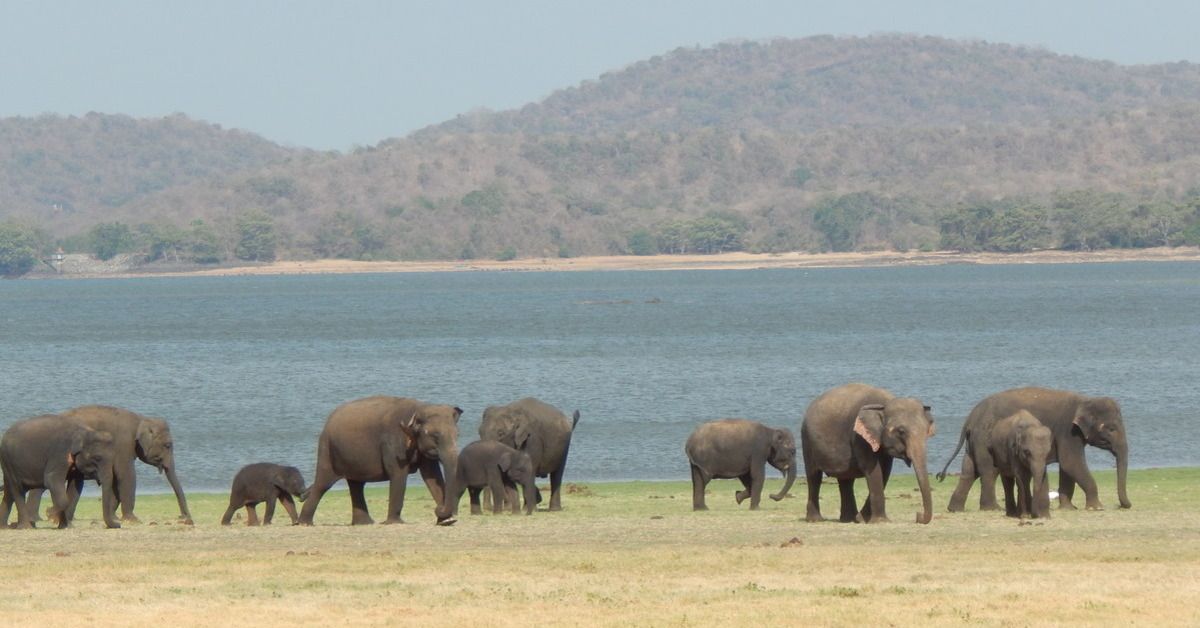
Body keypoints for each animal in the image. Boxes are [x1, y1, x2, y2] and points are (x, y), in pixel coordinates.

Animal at [27, 405, 192, 523]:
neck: (141, 419)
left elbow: (114, 480)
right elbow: (126, 475)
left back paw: (40, 518)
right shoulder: (123, 445)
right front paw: (133, 520)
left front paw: (115, 517)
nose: (183, 518)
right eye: (168, 445)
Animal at [300, 398, 463, 525]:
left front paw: (447, 521)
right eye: (435, 436)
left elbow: (432, 476)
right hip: (327, 450)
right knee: (323, 484)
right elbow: (398, 475)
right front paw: (395, 522)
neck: (418, 409)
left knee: (356, 485)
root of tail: (327, 422)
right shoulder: (393, 444)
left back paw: (364, 523)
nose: (439, 509)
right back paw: (305, 523)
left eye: (457, 435)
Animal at [801, 384, 940, 525]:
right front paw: (879, 521)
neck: (885, 404)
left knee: (846, 480)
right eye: (901, 431)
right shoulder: (860, 438)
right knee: (814, 477)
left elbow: (885, 471)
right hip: (807, 440)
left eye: (927, 431)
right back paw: (816, 519)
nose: (918, 515)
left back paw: (849, 519)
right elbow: (874, 470)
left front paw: (861, 519)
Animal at [936, 389, 1132, 511]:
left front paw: (1068, 508)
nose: (1125, 505)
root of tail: (969, 418)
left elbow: (1067, 468)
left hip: (974, 443)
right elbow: (1071, 463)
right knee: (989, 471)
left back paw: (955, 509)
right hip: (984, 440)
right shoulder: (1067, 431)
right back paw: (992, 508)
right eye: (1111, 429)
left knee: (969, 471)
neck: (1084, 400)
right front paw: (1096, 507)